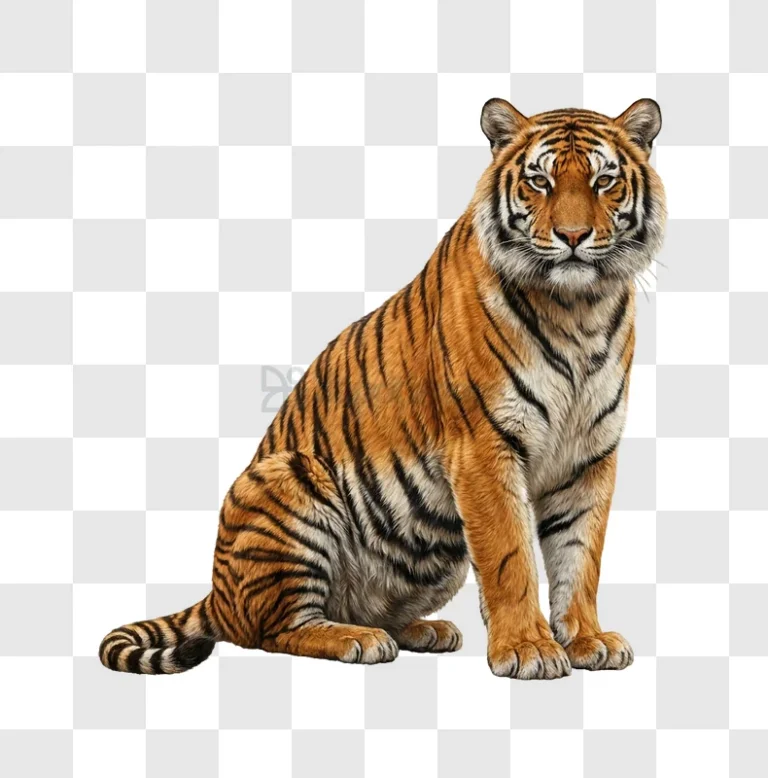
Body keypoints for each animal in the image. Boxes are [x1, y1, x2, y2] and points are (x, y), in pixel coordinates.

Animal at [100, 97, 665, 680]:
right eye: (539, 181)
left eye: (603, 181)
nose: (573, 237)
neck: (578, 311)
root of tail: (216, 591)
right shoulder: (485, 447)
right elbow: (510, 558)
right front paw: (528, 648)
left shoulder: (589, 455)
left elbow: (581, 556)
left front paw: (588, 639)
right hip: (289, 478)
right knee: (271, 631)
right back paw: (359, 639)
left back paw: (423, 630)